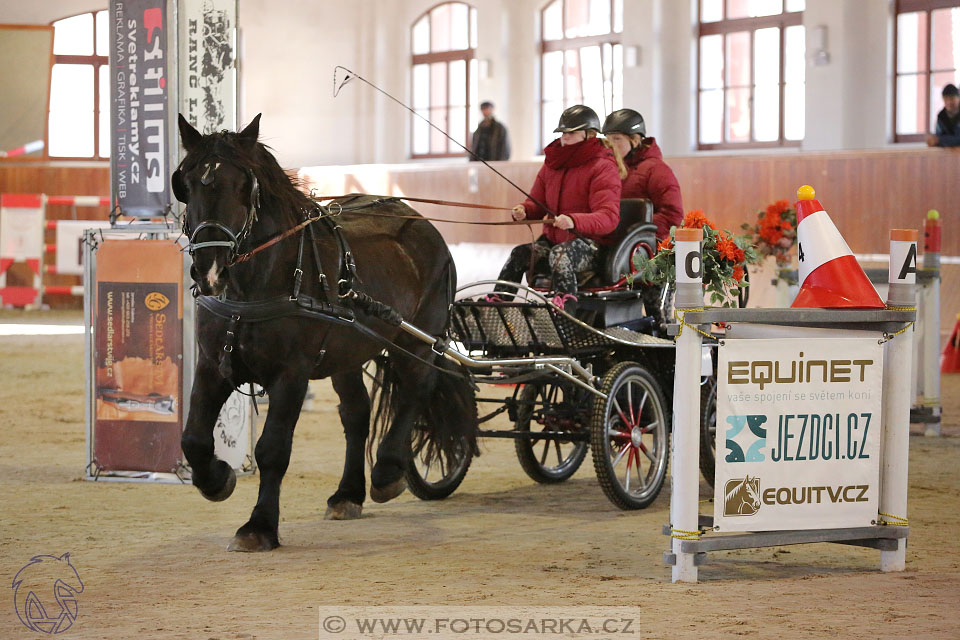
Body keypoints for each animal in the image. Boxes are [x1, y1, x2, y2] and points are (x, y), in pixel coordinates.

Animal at [172, 114, 476, 552]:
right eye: (187, 181)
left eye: (243, 185)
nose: (211, 269)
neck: (259, 282)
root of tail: (418, 220)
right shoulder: (214, 365)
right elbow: (193, 438)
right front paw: (218, 480)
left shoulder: (291, 374)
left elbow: (273, 448)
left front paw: (259, 526)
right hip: (346, 354)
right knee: (356, 413)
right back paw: (348, 494)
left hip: (417, 339)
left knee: (416, 390)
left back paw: (387, 471)